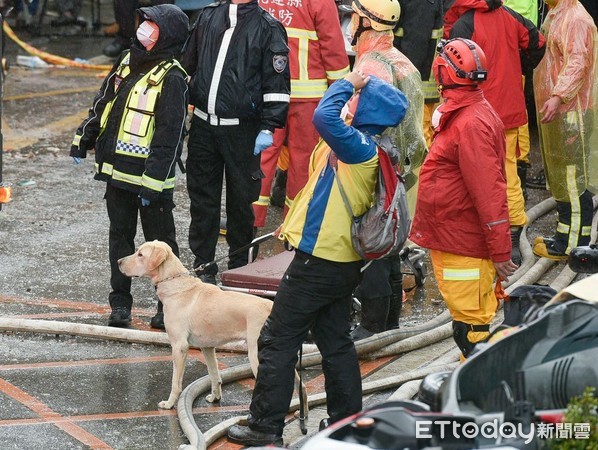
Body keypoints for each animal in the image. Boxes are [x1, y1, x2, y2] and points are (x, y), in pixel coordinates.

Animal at [118, 239, 310, 414]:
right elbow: (214, 374)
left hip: (258, 356)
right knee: (301, 386)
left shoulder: (179, 347)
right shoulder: (207, 347)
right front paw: (215, 397)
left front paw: (169, 403)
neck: (175, 284)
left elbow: (176, 382)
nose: (118, 262)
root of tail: (271, 306)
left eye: (140, 254)